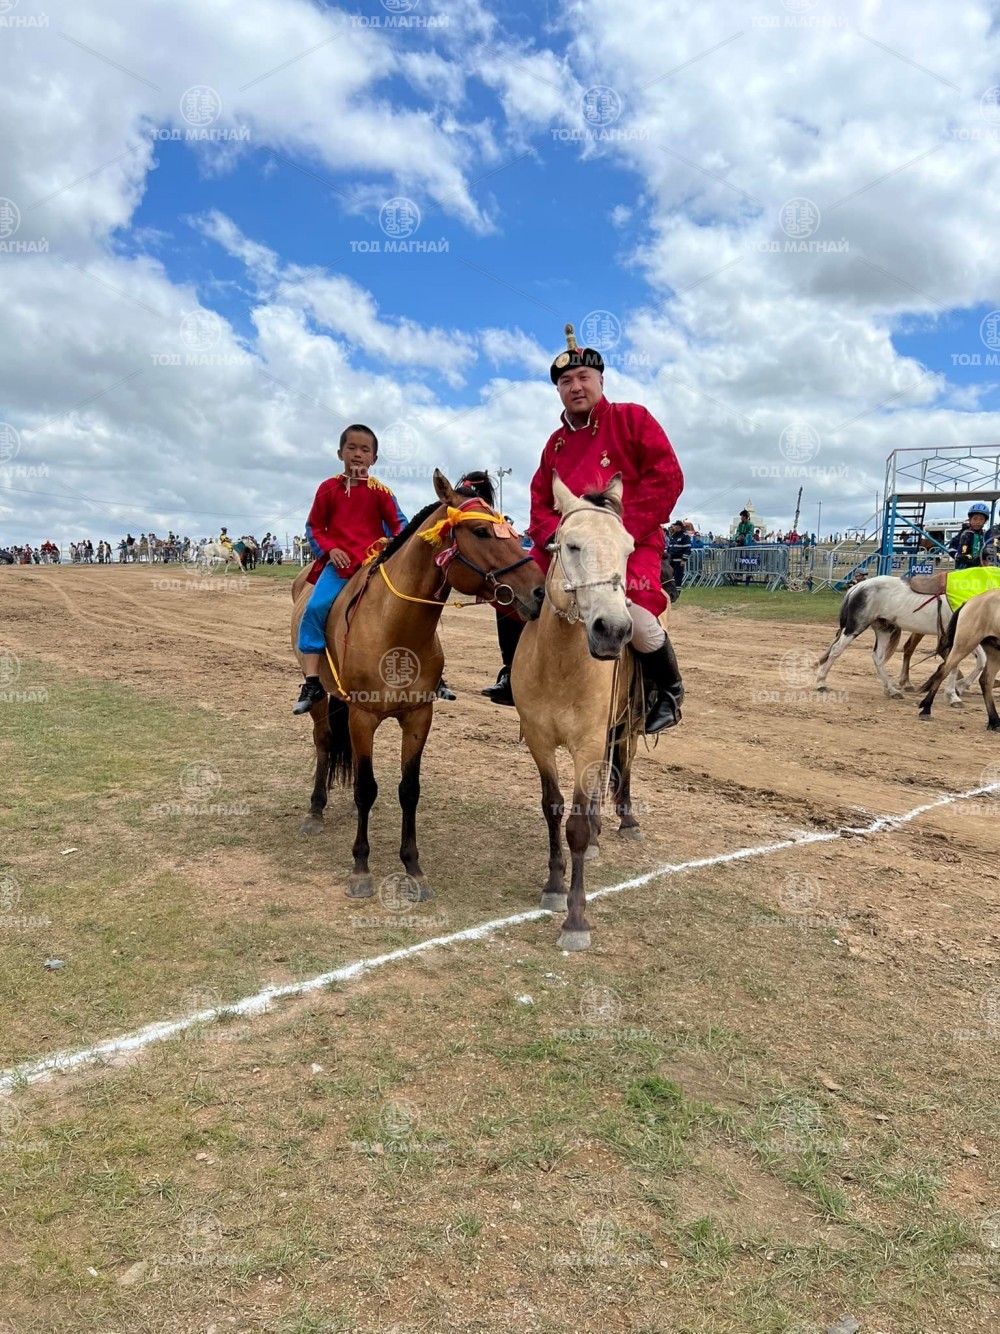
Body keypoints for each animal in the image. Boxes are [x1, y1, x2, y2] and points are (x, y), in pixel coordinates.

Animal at [290, 469, 545, 900]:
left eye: (512, 529)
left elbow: (409, 789)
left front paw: (413, 867)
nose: (540, 591)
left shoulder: (418, 717)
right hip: (324, 697)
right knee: (323, 743)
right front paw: (361, 869)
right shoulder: (362, 716)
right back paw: (315, 810)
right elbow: (366, 788)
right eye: (481, 531)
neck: (394, 628)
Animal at [511, 472, 654, 953]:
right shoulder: (540, 740)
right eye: (570, 545)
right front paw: (555, 886)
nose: (613, 630)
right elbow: (553, 808)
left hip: (626, 724)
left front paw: (575, 920)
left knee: (624, 764)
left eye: (628, 549)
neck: (559, 666)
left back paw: (625, 821)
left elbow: (573, 824)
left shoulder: (587, 742)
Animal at [815, 574, 984, 704]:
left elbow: (981, 660)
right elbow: (956, 663)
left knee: (878, 657)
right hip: (856, 627)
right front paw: (954, 694)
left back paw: (891, 690)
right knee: (836, 650)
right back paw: (821, 682)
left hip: (884, 629)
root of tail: (858, 586)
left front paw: (959, 688)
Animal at [918, 589, 1000, 729]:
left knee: (986, 681)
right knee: (943, 672)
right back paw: (926, 709)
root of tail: (970, 601)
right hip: (965, 644)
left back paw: (994, 721)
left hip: (994, 651)